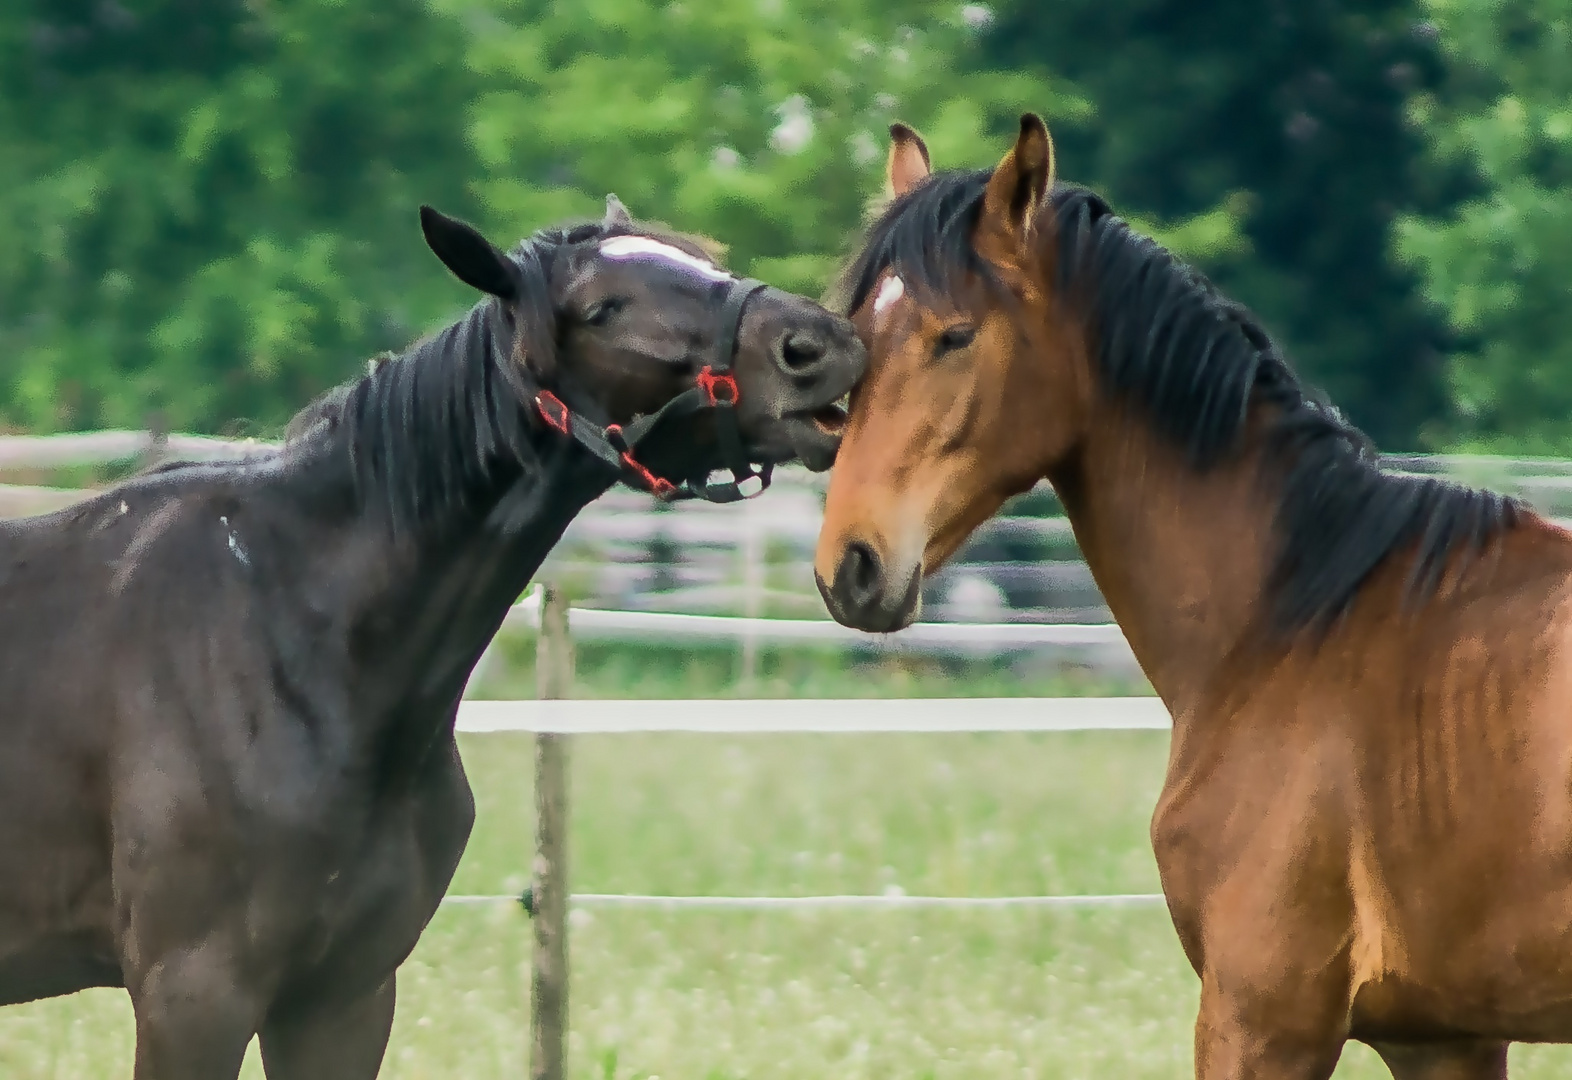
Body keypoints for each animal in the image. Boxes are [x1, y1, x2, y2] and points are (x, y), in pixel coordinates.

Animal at [0, 198, 861, 1075]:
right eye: (601, 309)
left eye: (704, 262)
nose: (819, 344)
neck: (287, 628)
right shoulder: (193, 998)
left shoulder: (341, 999)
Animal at [817, 113, 1572, 1075]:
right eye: (855, 334)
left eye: (955, 335)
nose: (851, 563)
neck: (1295, 619)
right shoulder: (1444, 1038)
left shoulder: (1262, 1019)